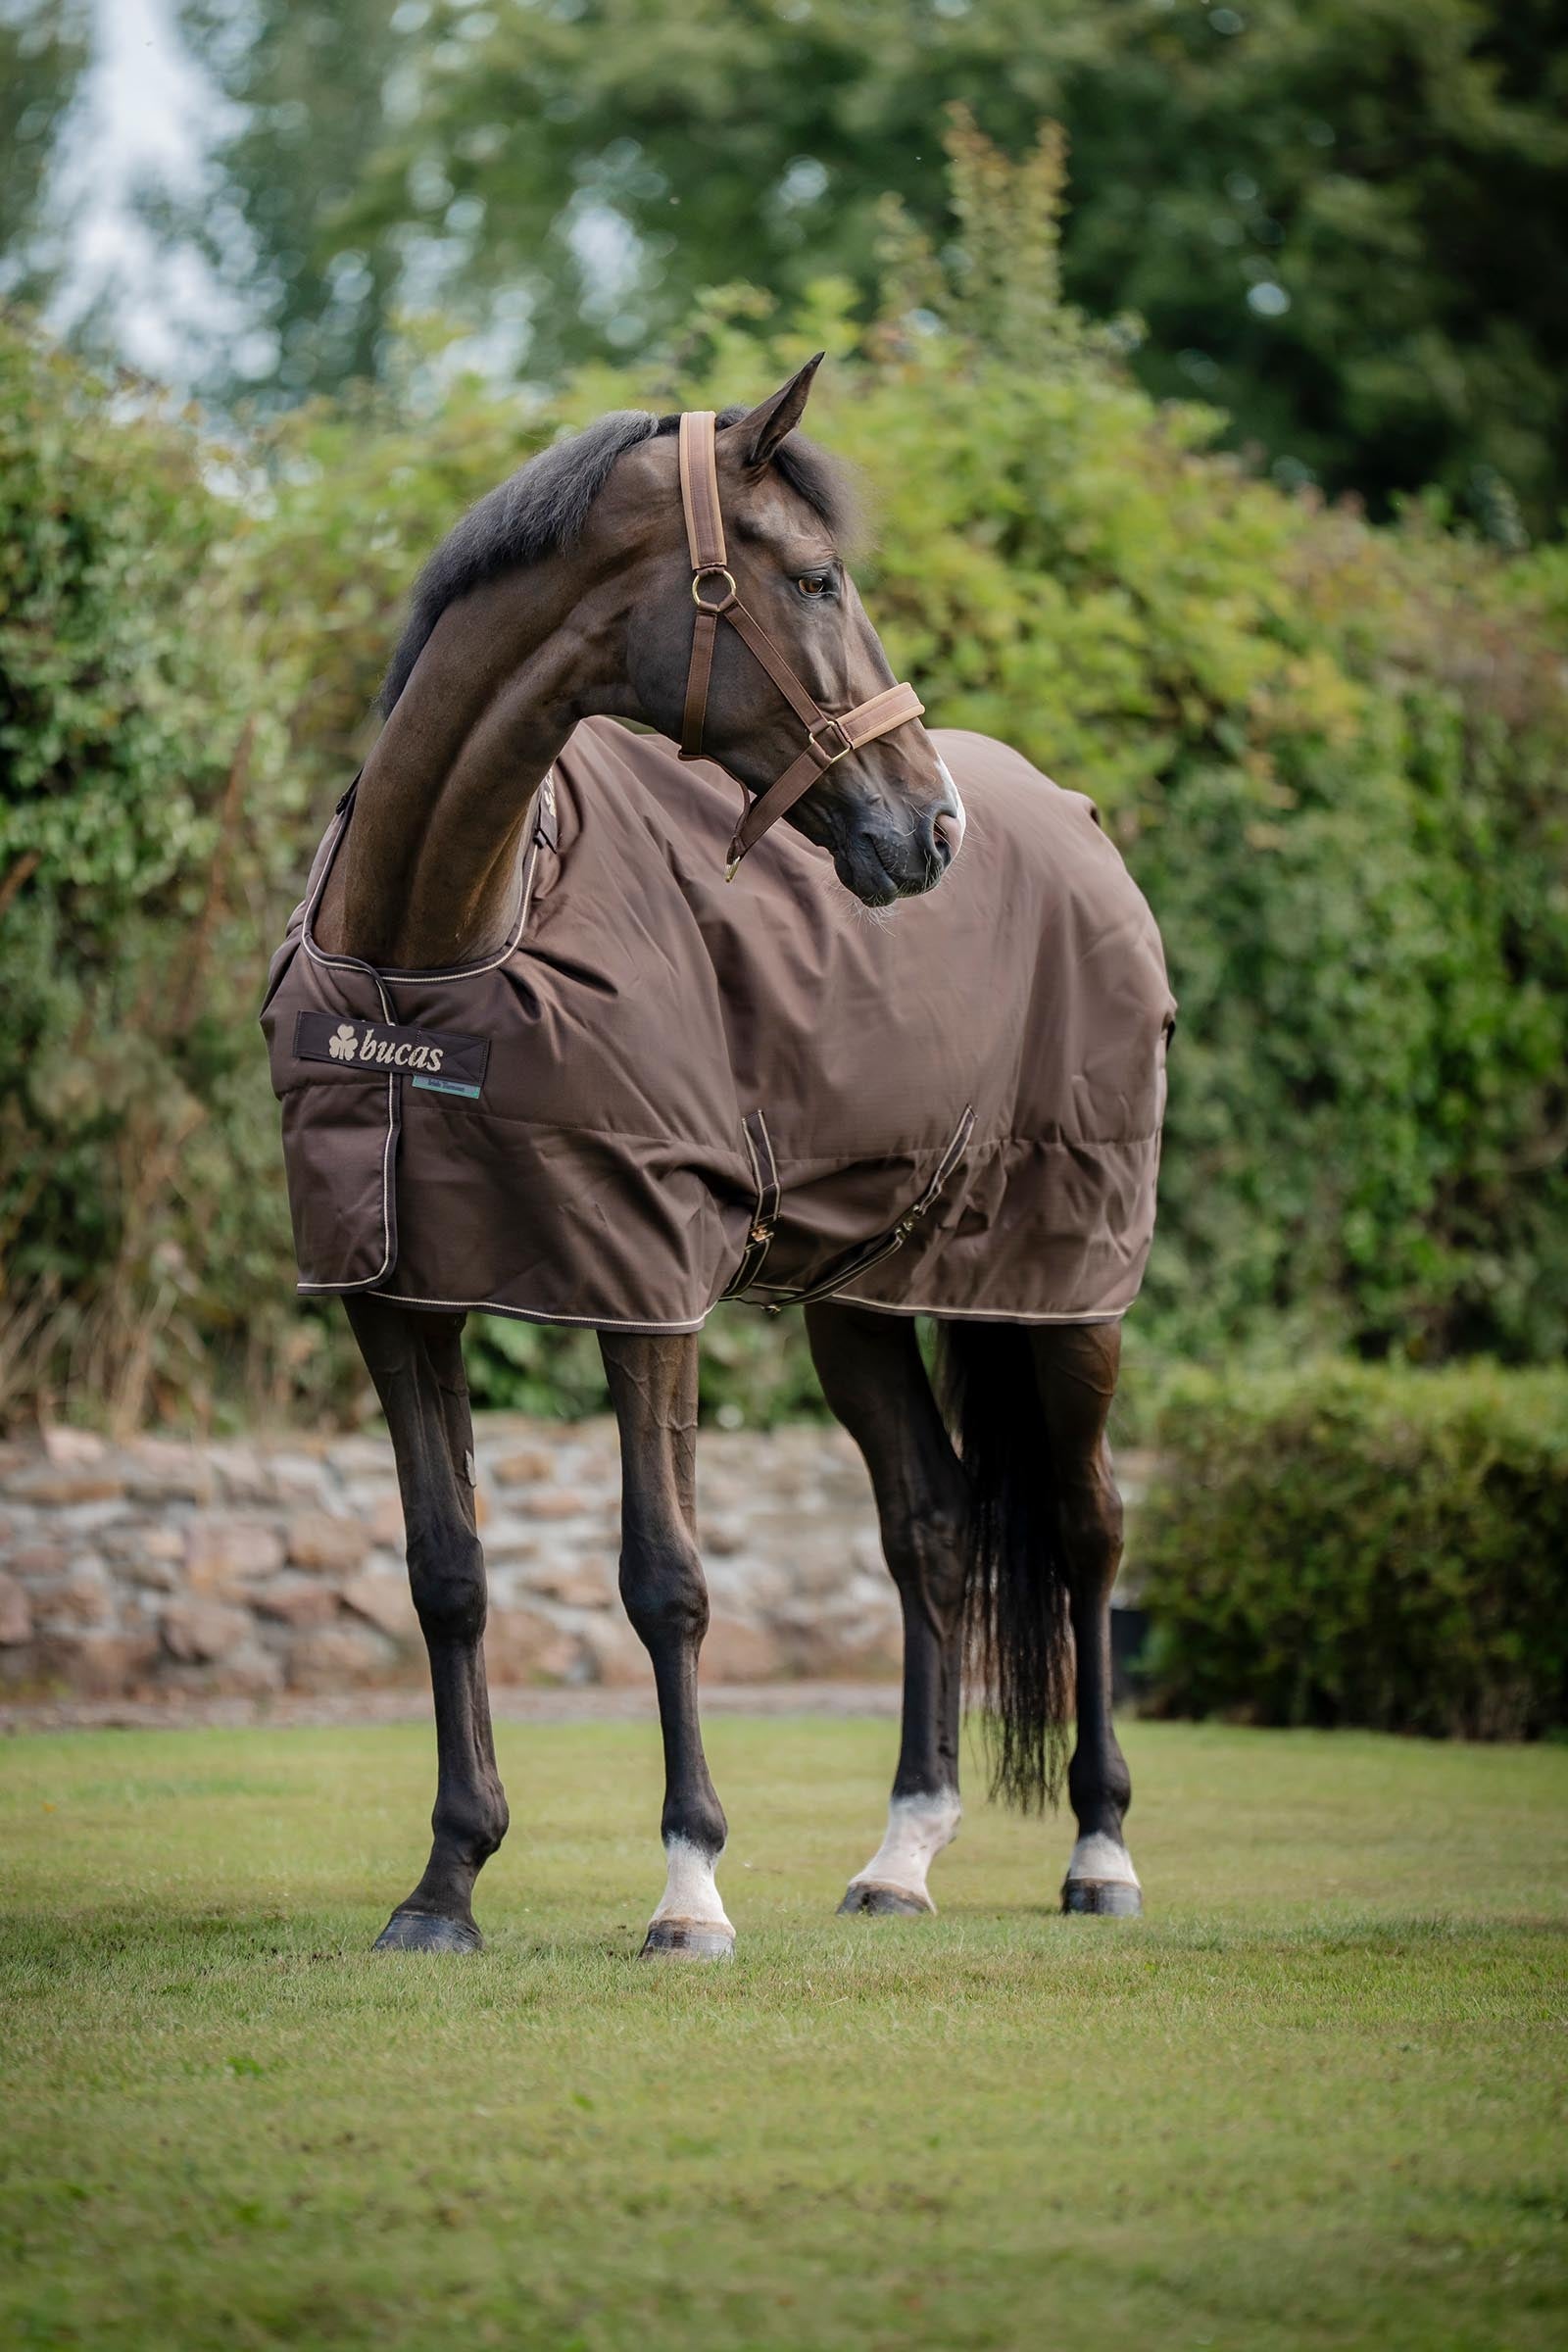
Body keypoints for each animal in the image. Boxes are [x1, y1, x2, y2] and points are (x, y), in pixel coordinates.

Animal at [263, 357, 1174, 1958]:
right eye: (812, 577)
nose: (929, 826)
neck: (433, 948)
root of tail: (1075, 819)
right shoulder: (396, 1296)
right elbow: (448, 1576)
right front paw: (446, 1883)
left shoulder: (644, 1289)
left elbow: (667, 1580)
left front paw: (688, 1885)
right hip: (862, 1296)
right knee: (932, 1528)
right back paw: (902, 1855)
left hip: (1069, 1293)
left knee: (1087, 1531)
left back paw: (1099, 1852)